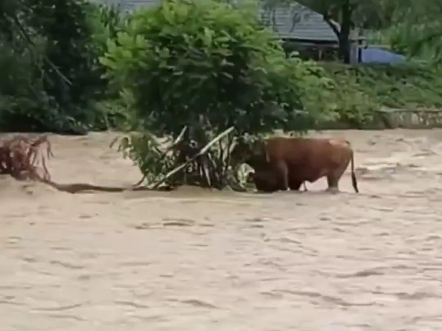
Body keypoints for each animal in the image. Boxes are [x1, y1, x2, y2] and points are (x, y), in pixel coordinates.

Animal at [231, 137, 360, 195]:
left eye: (243, 148)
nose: (232, 154)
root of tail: (345, 143)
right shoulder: (295, 179)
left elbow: (283, 184)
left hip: (333, 176)